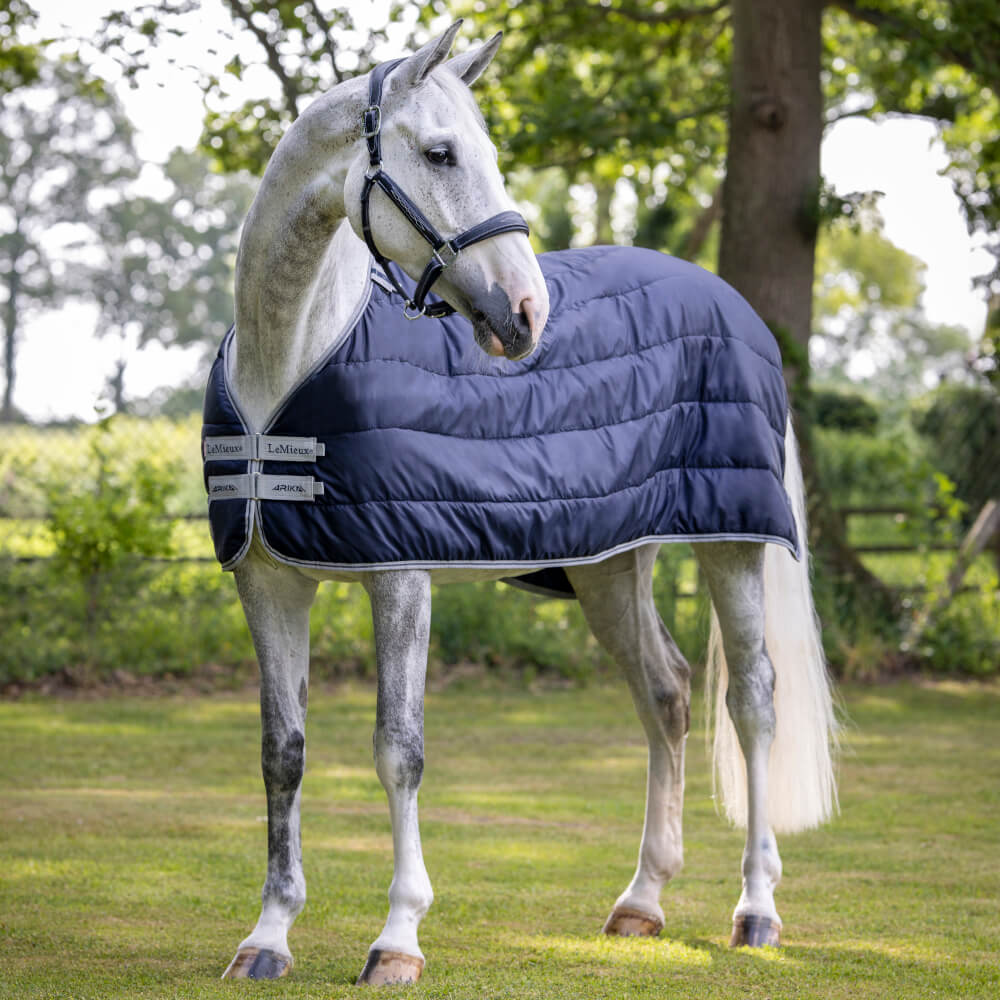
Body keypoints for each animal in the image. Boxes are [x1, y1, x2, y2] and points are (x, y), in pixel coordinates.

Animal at [203, 21, 837, 986]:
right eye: (440, 152)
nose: (528, 313)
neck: (291, 360)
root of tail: (734, 306)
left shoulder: (401, 574)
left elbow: (398, 752)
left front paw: (398, 939)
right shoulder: (269, 582)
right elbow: (284, 755)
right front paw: (267, 937)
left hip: (733, 547)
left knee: (753, 703)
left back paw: (756, 909)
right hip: (612, 567)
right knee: (666, 694)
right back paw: (641, 902)